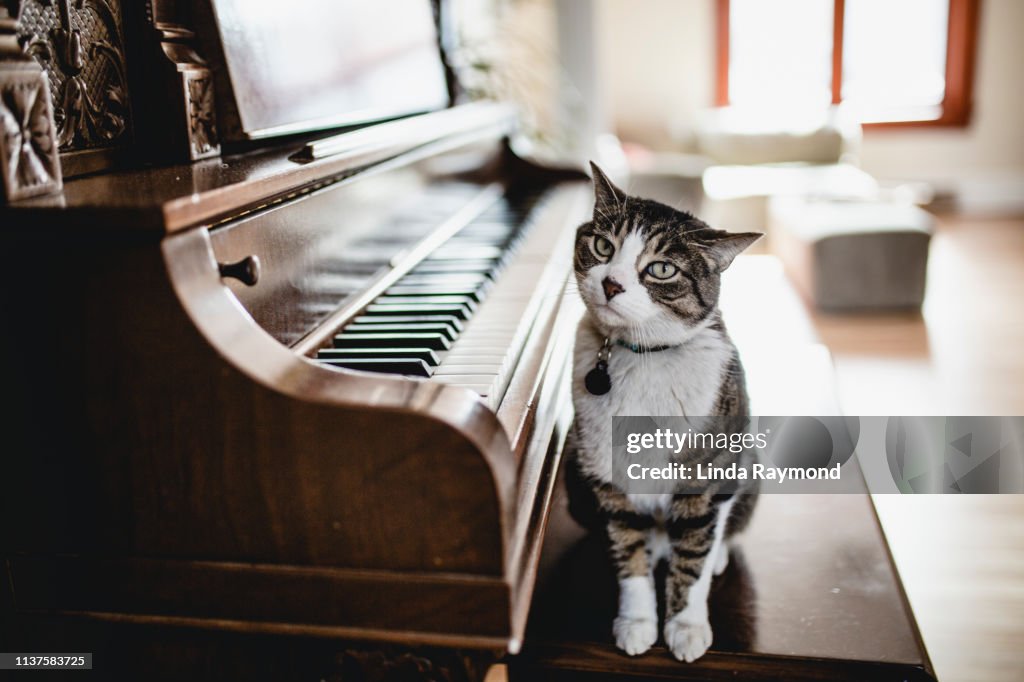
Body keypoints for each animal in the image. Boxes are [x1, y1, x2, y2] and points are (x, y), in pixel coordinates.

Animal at [569, 160, 761, 659]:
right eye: (602, 245)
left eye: (661, 269)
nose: (612, 282)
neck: (643, 358)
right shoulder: (608, 475)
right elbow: (628, 550)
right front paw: (636, 622)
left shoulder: (707, 477)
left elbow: (694, 553)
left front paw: (687, 627)